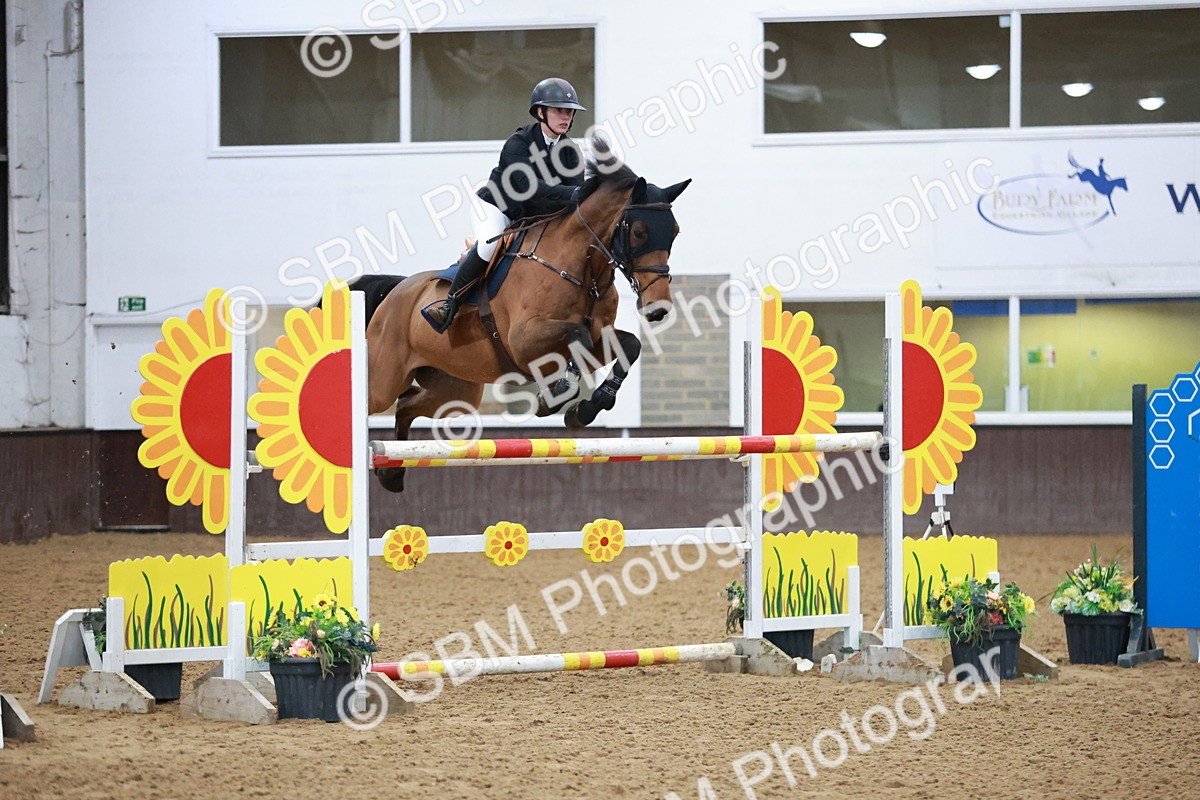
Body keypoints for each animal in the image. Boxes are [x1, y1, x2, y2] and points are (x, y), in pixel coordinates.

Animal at [357, 146, 690, 493]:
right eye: (639, 232)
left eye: (675, 232)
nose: (657, 308)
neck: (583, 270)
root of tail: (396, 290)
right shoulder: (524, 340)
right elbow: (578, 336)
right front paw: (556, 395)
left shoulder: (600, 337)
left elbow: (629, 345)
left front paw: (587, 407)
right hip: (383, 381)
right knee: (377, 401)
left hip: (455, 390)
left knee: (407, 404)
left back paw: (392, 475)